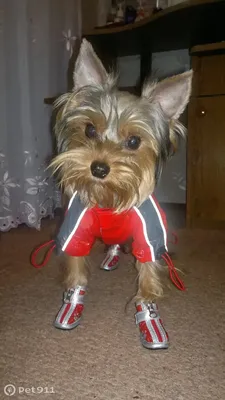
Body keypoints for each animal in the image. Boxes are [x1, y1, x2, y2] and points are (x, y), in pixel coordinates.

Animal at [50, 39, 192, 348]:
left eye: (134, 141)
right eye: (90, 130)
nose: (99, 168)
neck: (108, 197)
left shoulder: (149, 231)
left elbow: (148, 270)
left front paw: (149, 313)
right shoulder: (75, 227)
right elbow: (76, 267)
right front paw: (72, 304)